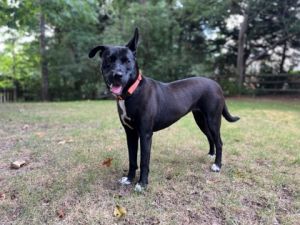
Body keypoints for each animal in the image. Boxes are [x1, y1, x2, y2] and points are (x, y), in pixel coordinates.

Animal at [88, 27, 239, 192]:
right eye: (109, 60)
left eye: (127, 61)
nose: (117, 75)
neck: (132, 92)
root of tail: (216, 85)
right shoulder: (130, 133)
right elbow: (132, 159)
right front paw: (129, 179)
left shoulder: (145, 134)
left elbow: (144, 161)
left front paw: (142, 184)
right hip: (201, 119)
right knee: (210, 137)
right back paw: (211, 155)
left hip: (213, 119)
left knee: (219, 142)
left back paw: (217, 165)